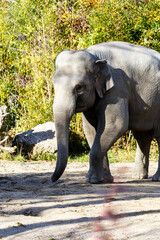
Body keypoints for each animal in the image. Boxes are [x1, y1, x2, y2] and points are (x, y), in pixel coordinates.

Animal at [51, 41, 160, 184]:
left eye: (79, 88)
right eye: (53, 84)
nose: (52, 179)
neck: (95, 55)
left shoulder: (118, 88)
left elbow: (115, 125)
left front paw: (92, 180)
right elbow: (91, 129)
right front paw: (104, 179)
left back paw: (156, 178)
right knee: (142, 136)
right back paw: (137, 177)